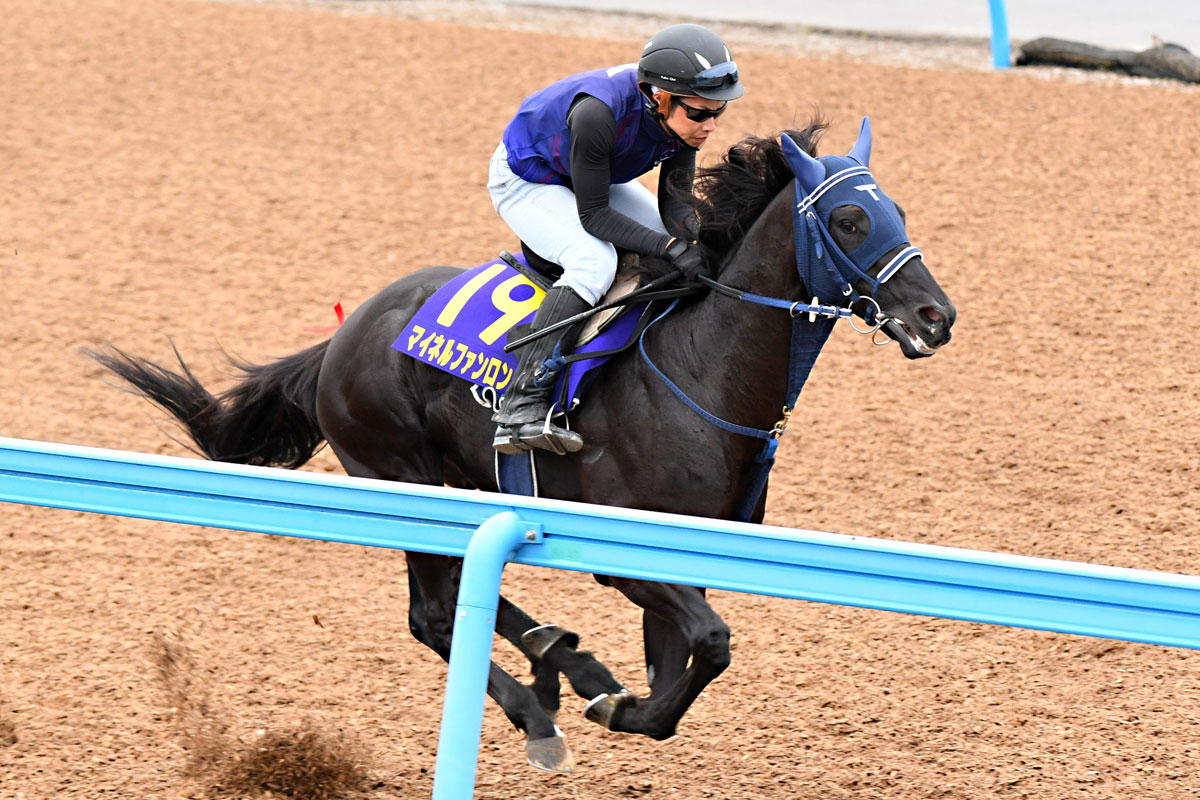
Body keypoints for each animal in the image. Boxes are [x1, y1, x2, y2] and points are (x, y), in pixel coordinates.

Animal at [90, 116, 956, 773]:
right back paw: (540, 709)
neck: (701, 371)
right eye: (849, 221)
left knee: (469, 596)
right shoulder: (621, 553)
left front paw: (616, 689)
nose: (936, 316)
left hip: (465, 481)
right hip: (404, 477)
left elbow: (687, 656)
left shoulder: (694, 549)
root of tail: (343, 337)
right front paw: (621, 707)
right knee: (432, 615)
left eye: (898, 211)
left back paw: (561, 663)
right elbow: (709, 646)